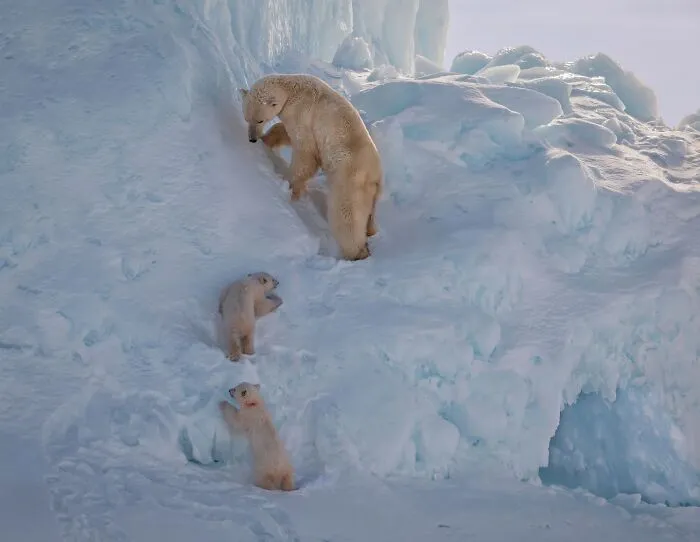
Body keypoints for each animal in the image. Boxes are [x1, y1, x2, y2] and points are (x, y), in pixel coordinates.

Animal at [239, 73, 383, 261]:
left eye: (260, 119)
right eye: (246, 118)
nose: (252, 139)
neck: (292, 89)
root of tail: (376, 177)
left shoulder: (302, 113)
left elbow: (306, 152)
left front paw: (289, 184)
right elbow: (285, 131)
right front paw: (267, 140)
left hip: (349, 182)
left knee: (346, 217)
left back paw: (357, 253)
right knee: (369, 217)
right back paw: (370, 232)